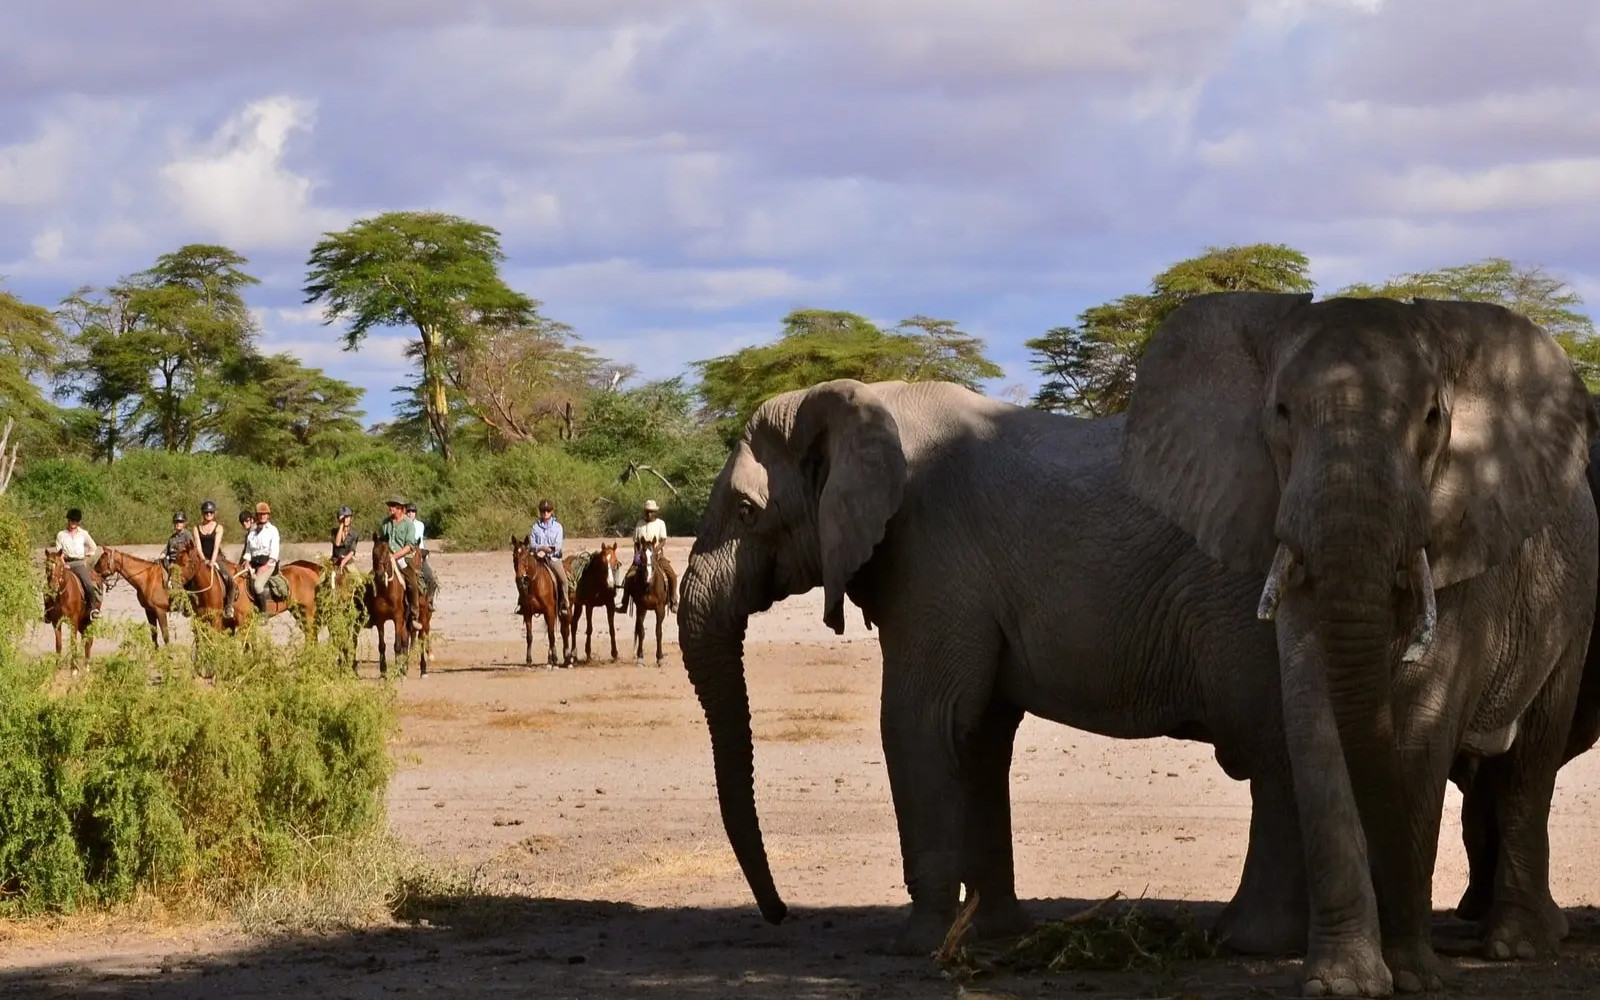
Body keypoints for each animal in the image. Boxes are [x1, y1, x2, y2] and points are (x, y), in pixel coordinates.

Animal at [512, 534, 569, 665]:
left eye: (525, 557)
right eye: (514, 557)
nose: (519, 580)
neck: (535, 583)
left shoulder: (549, 611)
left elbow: (551, 635)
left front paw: (555, 659)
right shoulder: (527, 613)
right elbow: (529, 636)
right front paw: (529, 659)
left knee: (563, 631)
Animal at [617, 534, 675, 665]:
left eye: (653, 555)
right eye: (642, 556)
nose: (648, 576)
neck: (649, 585)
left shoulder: (660, 608)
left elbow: (658, 632)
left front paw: (660, 658)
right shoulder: (641, 608)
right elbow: (641, 632)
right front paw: (640, 657)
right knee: (639, 630)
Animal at [678, 374, 1312, 960]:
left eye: (746, 512)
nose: (780, 914)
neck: (868, 397)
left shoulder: (931, 553)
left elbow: (920, 722)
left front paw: (919, 946)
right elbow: (979, 735)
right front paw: (990, 934)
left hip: (1241, 602)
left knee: (1269, 749)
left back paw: (1247, 940)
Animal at [1120, 292, 1600, 992]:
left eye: (1432, 418)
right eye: (1281, 413)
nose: (1420, 967)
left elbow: (1420, 733)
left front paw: (1413, 977)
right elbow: (1312, 720)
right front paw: (1345, 981)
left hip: (1576, 597)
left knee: (1531, 761)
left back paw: (1516, 945)